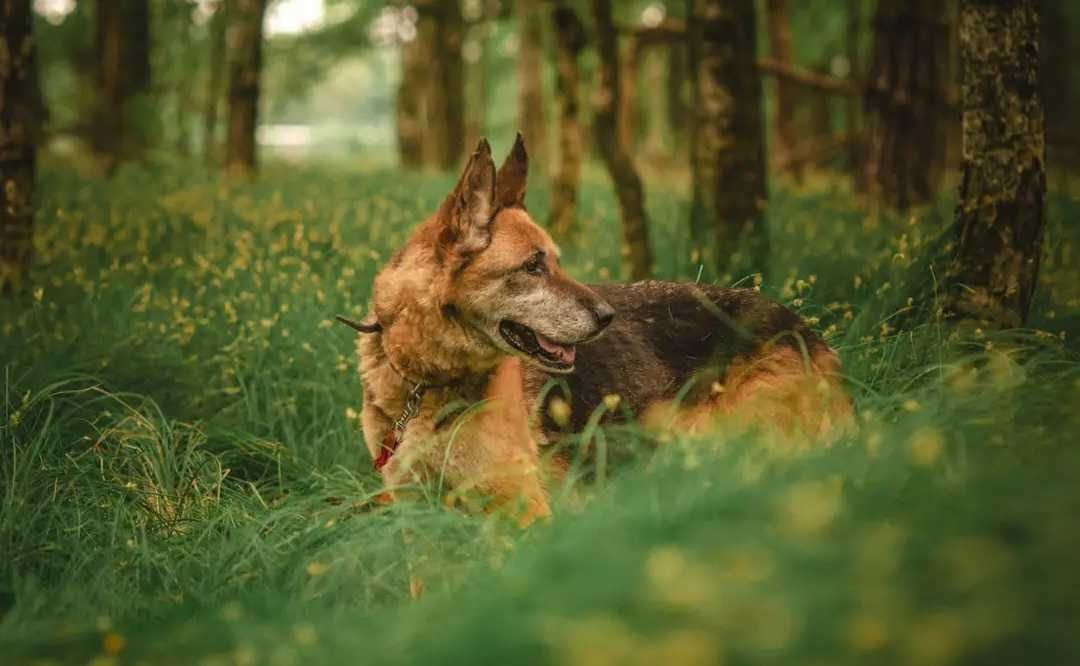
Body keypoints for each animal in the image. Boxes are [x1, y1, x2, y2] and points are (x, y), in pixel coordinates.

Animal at [339, 134, 851, 524]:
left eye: (556, 261)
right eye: (532, 266)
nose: (607, 317)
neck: (423, 384)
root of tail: (806, 331)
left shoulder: (521, 509)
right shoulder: (412, 514)